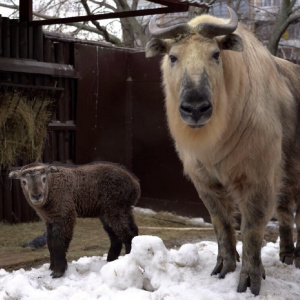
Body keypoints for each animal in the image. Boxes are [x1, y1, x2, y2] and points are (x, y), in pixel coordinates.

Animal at [9, 163, 140, 278]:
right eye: (24, 181)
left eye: (44, 178)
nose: (36, 196)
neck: (51, 187)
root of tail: (135, 185)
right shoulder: (50, 220)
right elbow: (50, 243)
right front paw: (51, 268)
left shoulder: (65, 216)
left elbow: (58, 244)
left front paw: (58, 271)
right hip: (116, 211)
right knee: (124, 234)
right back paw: (111, 261)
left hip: (114, 209)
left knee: (128, 235)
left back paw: (128, 260)